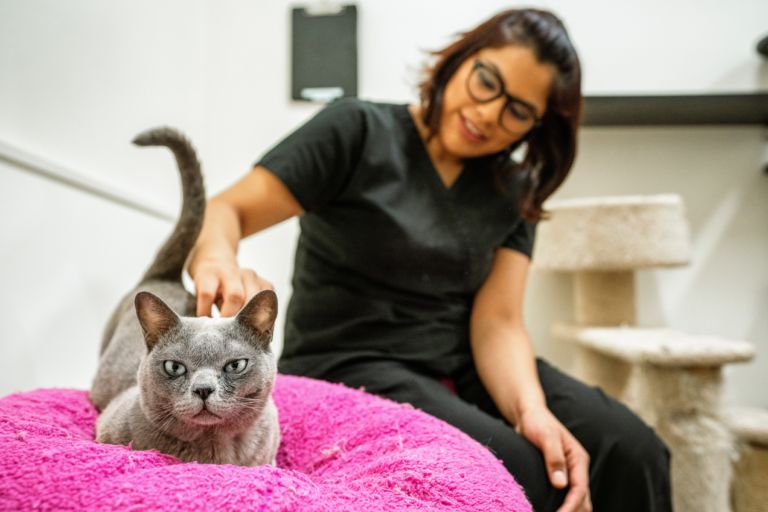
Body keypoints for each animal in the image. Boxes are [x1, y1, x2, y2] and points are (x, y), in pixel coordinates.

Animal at [90, 126, 280, 466]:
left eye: (235, 366)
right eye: (174, 368)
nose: (203, 390)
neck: (216, 451)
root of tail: (167, 276)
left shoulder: (269, 456)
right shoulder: (107, 433)